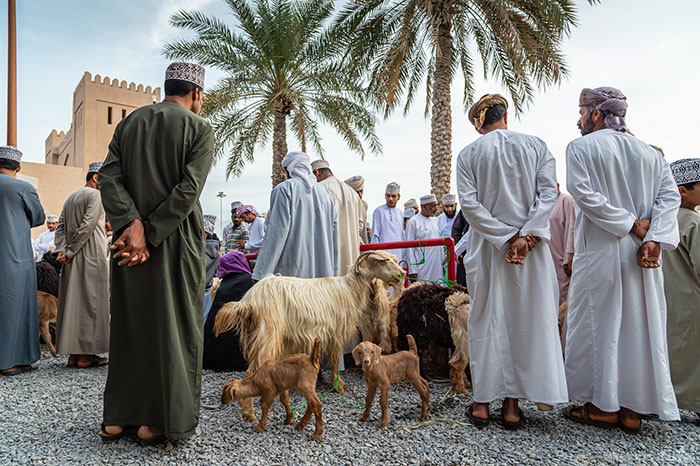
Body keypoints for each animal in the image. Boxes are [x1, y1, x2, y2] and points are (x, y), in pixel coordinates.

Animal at [213, 251, 402, 422]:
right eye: (384, 261)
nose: (401, 274)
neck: (349, 290)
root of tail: (248, 301)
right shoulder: (335, 333)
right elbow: (335, 361)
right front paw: (337, 386)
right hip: (267, 334)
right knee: (251, 371)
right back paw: (250, 413)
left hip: (254, 333)